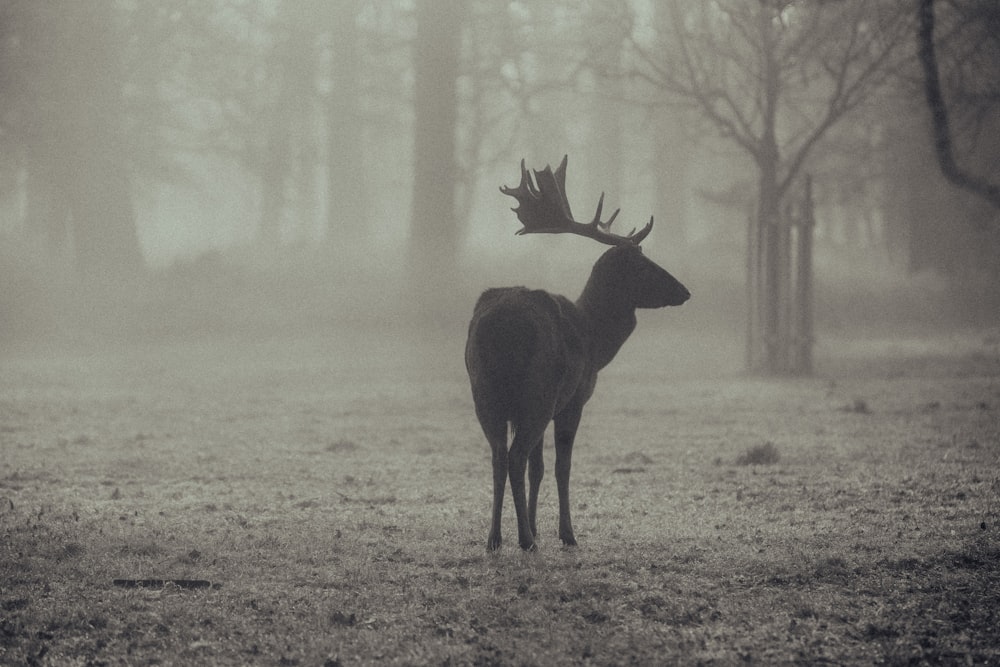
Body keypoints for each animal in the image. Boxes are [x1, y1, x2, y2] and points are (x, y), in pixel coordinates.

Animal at [466, 157, 688, 552]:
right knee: (514, 456)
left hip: (484, 391)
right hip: (536, 391)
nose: (685, 291)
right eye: (643, 264)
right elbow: (561, 467)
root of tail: (501, 327)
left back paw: (494, 538)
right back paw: (525, 541)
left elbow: (538, 468)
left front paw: (536, 525)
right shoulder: (573, 399)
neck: (595, 340)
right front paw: (565, 533)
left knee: (498, 456)